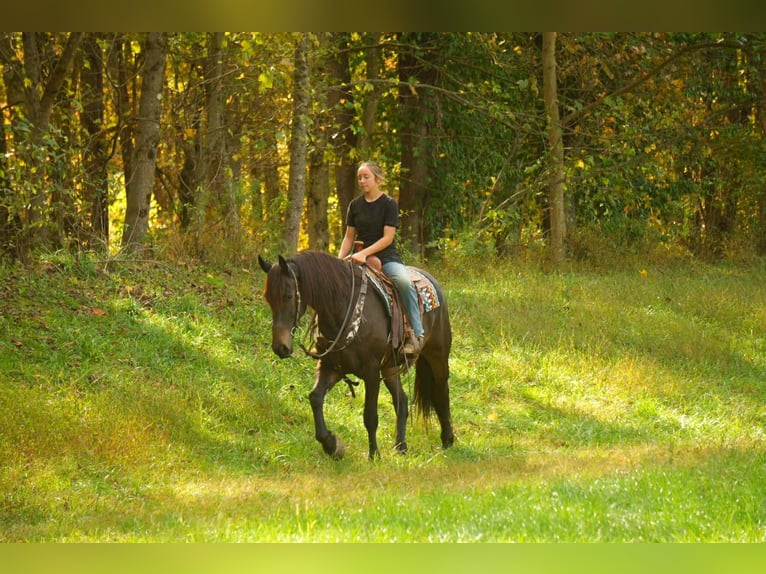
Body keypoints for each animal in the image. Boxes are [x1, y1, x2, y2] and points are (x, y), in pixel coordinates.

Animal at [258, 250, 454, 460]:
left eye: (288, 295)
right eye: (268, 297)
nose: (280, 347)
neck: (343, 309)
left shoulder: (371, 372)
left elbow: (370, 416)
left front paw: (374, 455)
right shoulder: (331, 367)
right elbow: (315, 398)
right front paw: (332, 445)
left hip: (437, 357)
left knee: (442, 392)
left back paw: (448, 440)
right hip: (390, 367)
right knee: (401, 400)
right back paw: (401, 446)